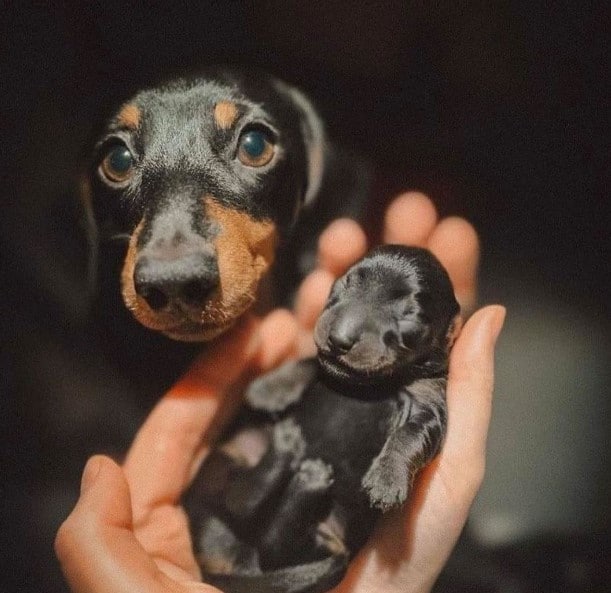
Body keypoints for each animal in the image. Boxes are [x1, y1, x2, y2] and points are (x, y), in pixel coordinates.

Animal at [184, 244, 462, 592]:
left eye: (410, 314)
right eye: (347, 282)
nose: (339, 339)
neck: (370, 385)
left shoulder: (430, 403)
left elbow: (412, 435)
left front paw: (387, 479)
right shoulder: (326, 366)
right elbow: (310, 363)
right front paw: (269, 388)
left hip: (325, 539)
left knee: (266, 532)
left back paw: (305, 473)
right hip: (227, 458)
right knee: (245, 509)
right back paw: (293, 455)